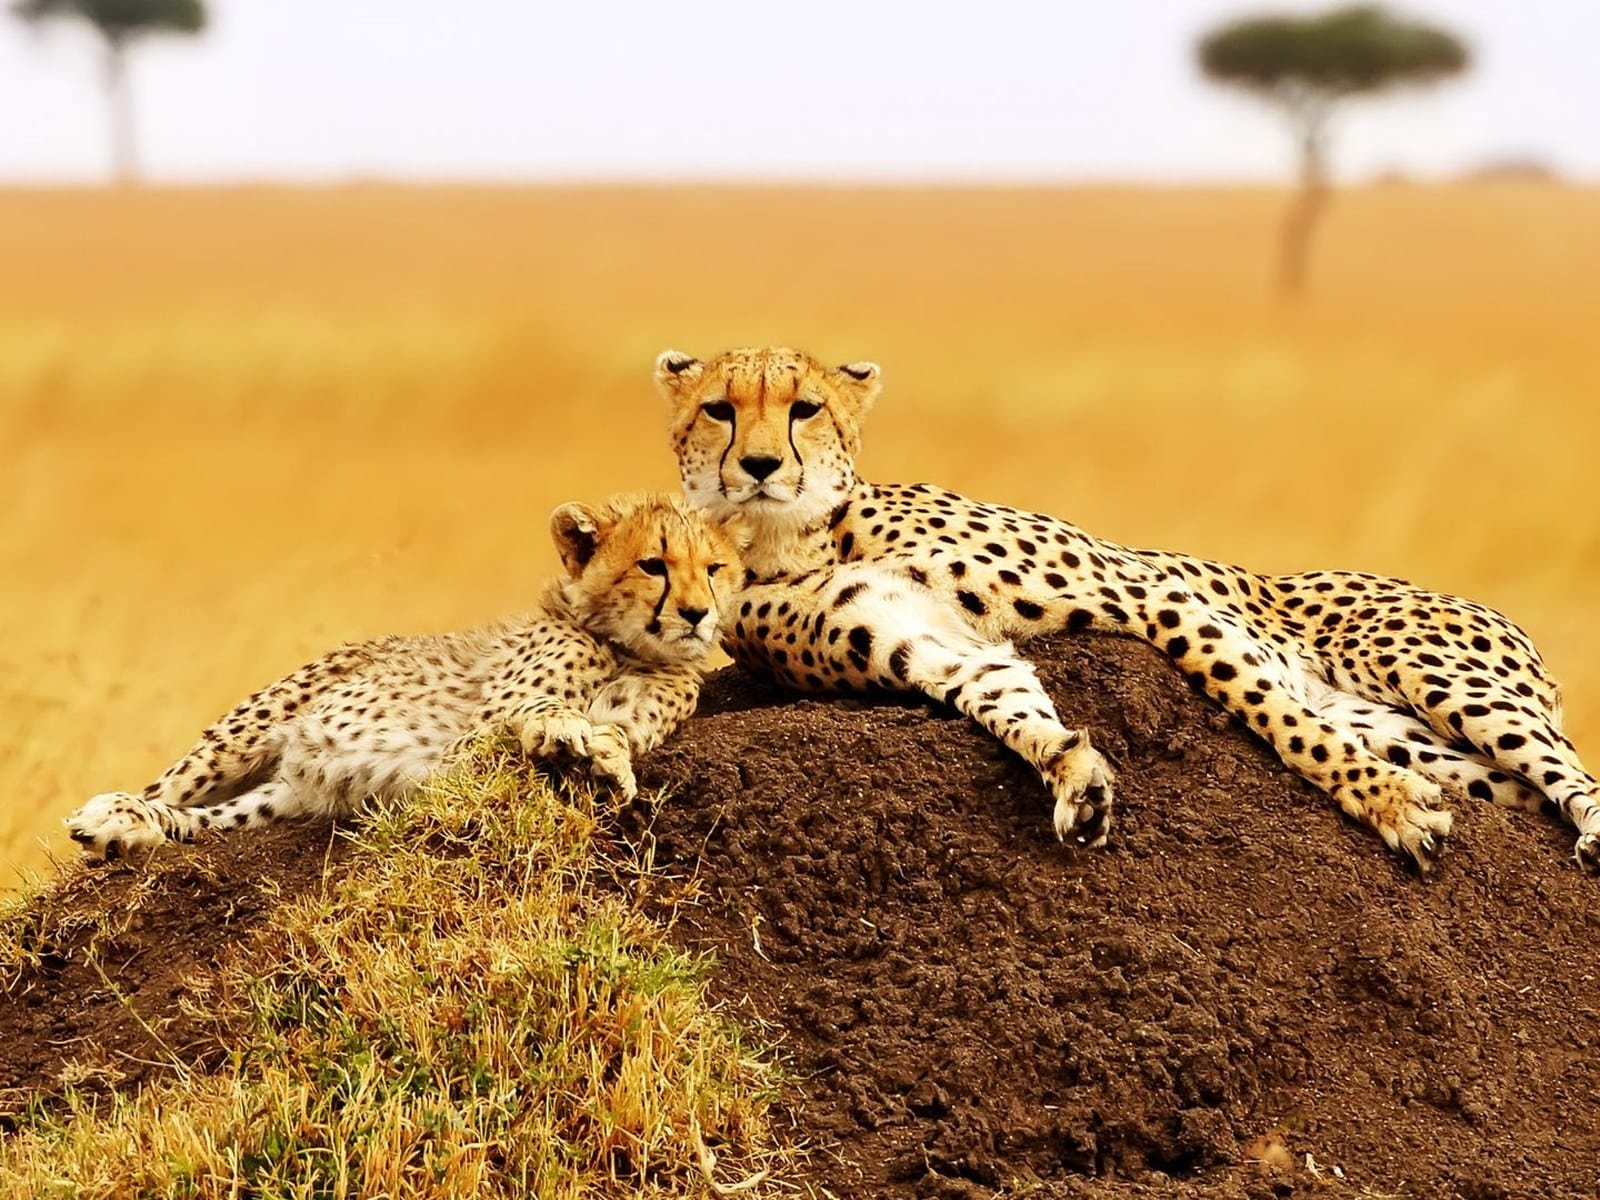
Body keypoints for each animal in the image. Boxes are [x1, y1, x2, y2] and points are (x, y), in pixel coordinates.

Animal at [66, 492, 745, 862]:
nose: (696, 613)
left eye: (714, 569)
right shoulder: (466, 744)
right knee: (165, 790)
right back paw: (112, 814)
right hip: (245, 735)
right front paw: (562, 733)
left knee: (201, 824)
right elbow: (533, 716)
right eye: (653, 565)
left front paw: (602, 760)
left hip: (282, 797)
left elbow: (617, 735)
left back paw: (127, 831)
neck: (627, 647)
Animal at [656, 345, 1599, 875]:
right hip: (1420, 735)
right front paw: (1077, 779)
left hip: (1440, 676)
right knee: (1514, 781)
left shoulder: (1151, 594)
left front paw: (1388, 806)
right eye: (720, 410)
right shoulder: (937, 647)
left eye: (805, 409)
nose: (761, 466)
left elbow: (1273, 713)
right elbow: (1007, 700)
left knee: (1573, 771)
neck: (797, 536)